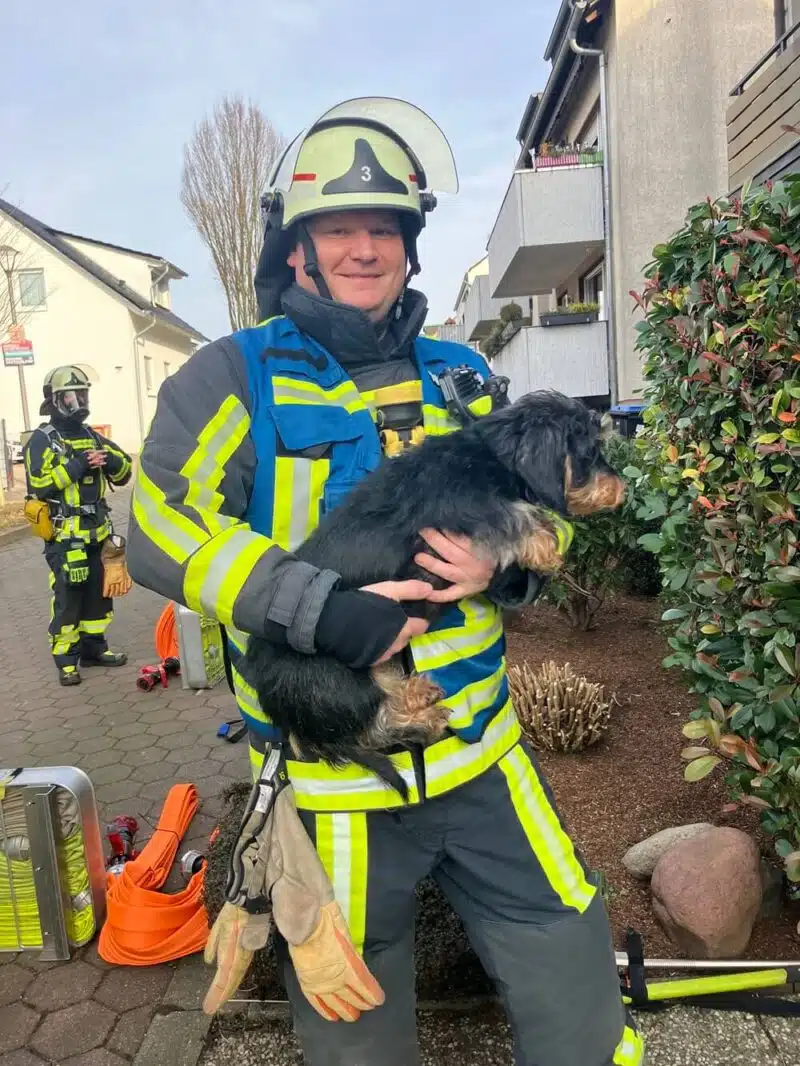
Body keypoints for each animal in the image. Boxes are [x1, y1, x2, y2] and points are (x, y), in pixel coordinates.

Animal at [24, 364, 133, 682]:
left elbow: (124, 466)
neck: (67, 428)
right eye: (67, 396)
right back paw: (69, 667)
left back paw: (98, 654)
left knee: (95, 605)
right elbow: (43, 480)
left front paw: (106, 458)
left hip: (97, 565)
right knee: (66, 615)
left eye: (80, 393)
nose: (81, 406)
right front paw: (82, 461)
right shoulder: (38, 450)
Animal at [241, 388, 631, 797]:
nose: (622, 491)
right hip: (339, 683)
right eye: (590, 452)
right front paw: (545, 545)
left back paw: (418, 695)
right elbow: (514, 513)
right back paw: (421, 715)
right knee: (370, 727)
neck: (492, 455)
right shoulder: (462, 506)